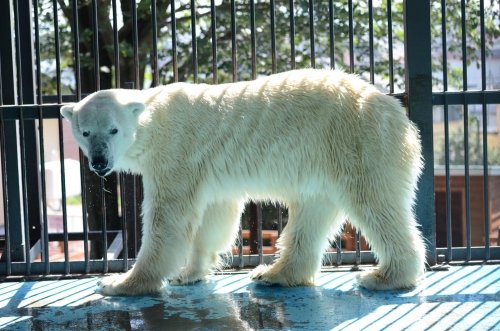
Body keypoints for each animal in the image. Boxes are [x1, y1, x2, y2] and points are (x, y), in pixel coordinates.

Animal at [59, 69, 426, 296]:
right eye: (85, 132)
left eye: (113, 129)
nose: (99, 162)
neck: (154, 118)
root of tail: (396, 112)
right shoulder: (205, 170)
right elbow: (215, 215)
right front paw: (188, 272)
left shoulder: (176, 153)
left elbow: (169, 219)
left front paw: (120, 283)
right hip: (324, 162)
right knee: (312, 212)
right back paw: (274, 274)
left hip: (356, 143)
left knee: (375, 203)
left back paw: (385, 276)